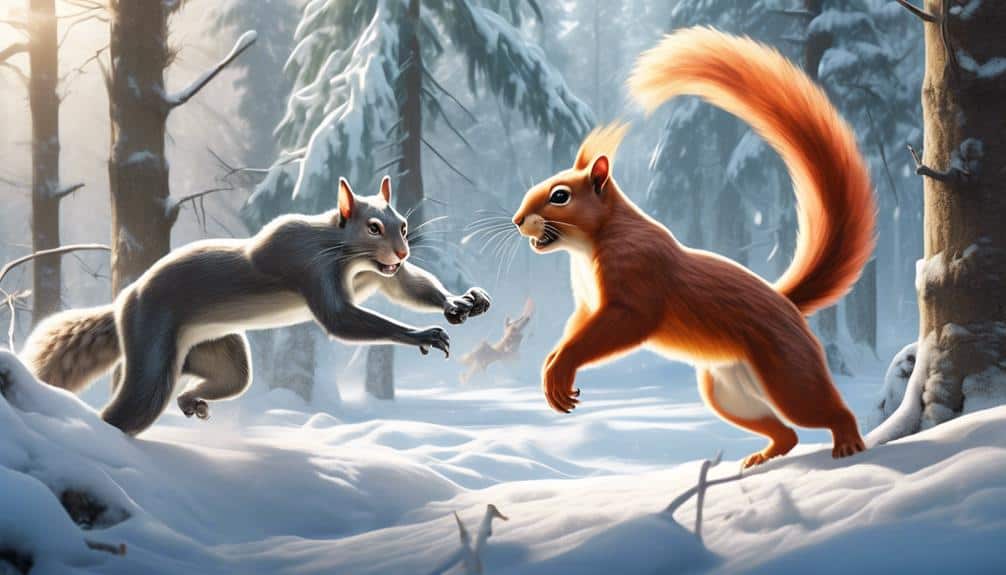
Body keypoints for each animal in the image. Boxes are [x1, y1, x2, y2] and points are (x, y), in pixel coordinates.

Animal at [21, 176, 491, 436]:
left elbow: (405, 286)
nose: (403, 251)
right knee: (131, 405)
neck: (342, 250)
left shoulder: (377, 274)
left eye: (404, 225)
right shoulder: (306, 264)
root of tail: (122, 301)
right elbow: (340, 319)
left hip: (216, 348)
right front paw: (420, 333)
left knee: (229, 379)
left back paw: (191, 400)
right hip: (151, 342)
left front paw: (458, 302)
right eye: (374, 227)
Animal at [511, 27, 875, 468]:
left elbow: (622, 322)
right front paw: (551, 367)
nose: (517, 219)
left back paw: (848, 443)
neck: (587, 246)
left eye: (560, 196)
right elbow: (576, 327)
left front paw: (560, 368)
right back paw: (761, 458)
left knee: (822, 410)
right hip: (726, 391)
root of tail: (786, 303)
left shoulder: (637, 277)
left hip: (789, 372)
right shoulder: (586, 302)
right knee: (786, 432)